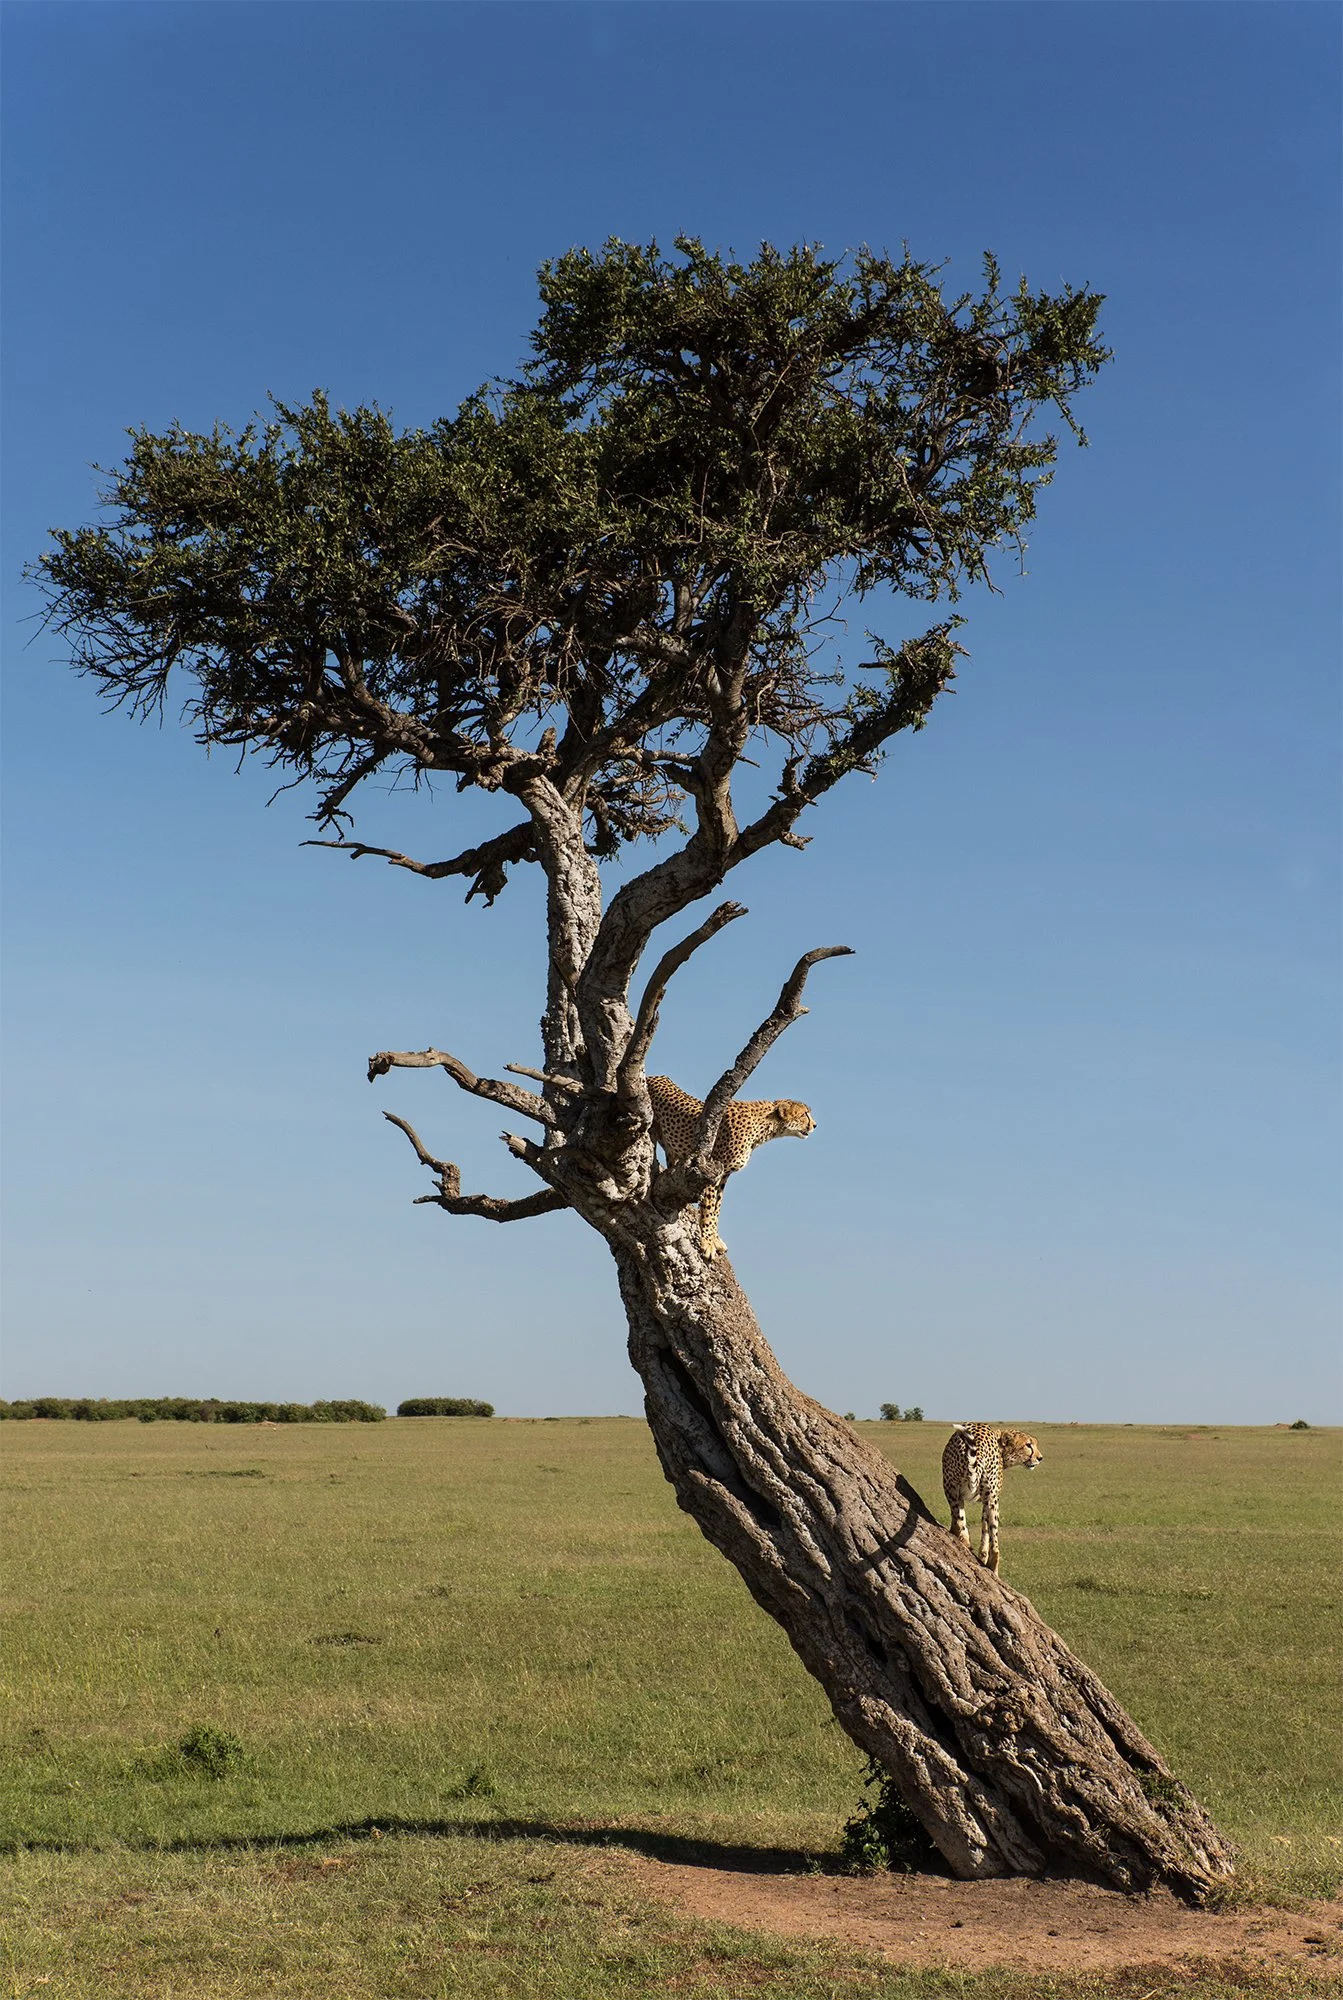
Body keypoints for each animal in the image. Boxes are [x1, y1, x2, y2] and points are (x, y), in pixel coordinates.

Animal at [646, 1075, 816, 1262]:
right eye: (805, 1114)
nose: (815, 1125)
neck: (764, 1125)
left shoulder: (724, 1175)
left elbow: (717, 1208)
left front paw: (715, 1239)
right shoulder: (711, 1169)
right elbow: (709, 1207)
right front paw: (707, 1242)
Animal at [941, 1422, 1043, 1576]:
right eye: (1028, 1445)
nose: (1040, 1458)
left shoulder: (978, 1498)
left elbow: (972, 1523)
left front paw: (980, 1554)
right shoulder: (989, 1498)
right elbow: (987, 1531)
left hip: (952, 1486)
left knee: (960, 1519)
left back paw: (964, 1540)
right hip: (992, 1501)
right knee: (995, 1544)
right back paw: (994, 1569)